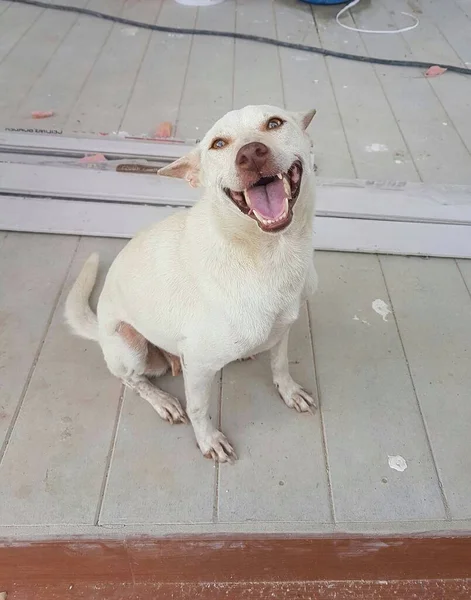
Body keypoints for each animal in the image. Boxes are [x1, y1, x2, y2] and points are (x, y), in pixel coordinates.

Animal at [65, 104, 318, 464]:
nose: (250, 154)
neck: (270, 256)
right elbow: (199, 409)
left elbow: (280, 365)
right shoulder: (197, 365)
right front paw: (208, 440)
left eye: (274, 123)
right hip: (130, 346)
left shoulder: (283, 329)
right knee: (131, 380)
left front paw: (290, 392)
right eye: (218, 144)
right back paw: (163, 401)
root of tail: (98, 325)